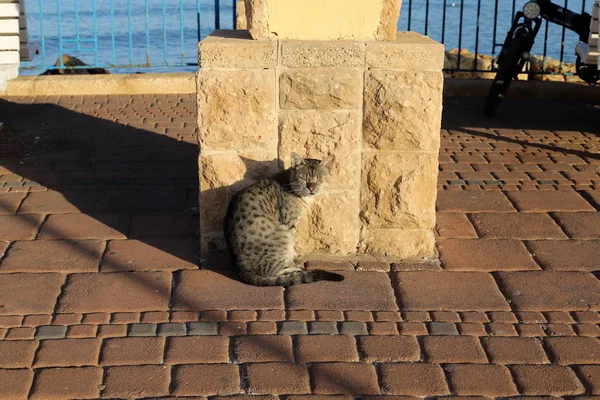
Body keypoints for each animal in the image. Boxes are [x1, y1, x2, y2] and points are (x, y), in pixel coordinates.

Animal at [224, 152, 346, 286]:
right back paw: (296, 268)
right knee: (274, 271)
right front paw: (295, 258)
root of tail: (241, 268)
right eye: (303, 178)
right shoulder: (289, 222)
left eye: (318, 179)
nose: (311, 187)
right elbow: (292, 244)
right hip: (281, 235)